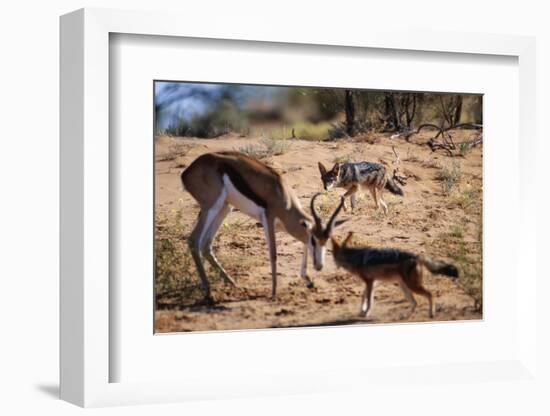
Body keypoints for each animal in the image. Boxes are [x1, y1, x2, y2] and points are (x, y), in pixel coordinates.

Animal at [182, 151, 350, 300]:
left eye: (326, 241)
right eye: (314, 240)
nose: (320, 266)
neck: (283, 196)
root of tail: (186, 173)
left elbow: (302, 242)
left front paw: (308, 280)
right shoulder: (268, 220)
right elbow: (273, 254)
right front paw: (274, 292)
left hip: (225, 207)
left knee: (205, 245)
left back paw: (233, 284)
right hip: (212, 206)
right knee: (193, 240)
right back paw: (209, 293)